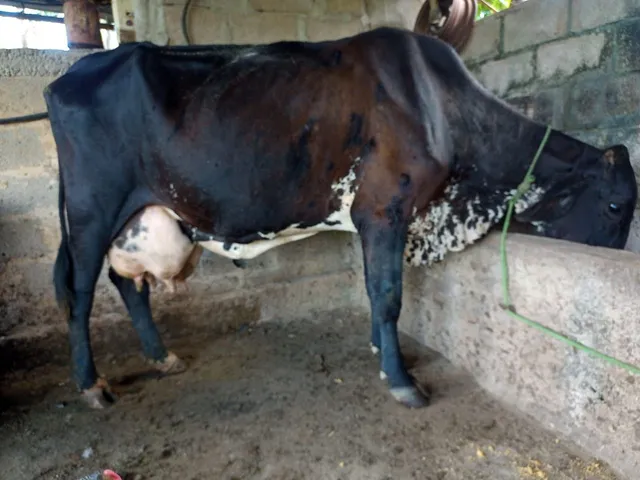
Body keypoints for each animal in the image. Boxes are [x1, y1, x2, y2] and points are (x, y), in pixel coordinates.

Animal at [33, 26, 636, 409]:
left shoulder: (373, 219)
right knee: (81, 295)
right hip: (91, 213)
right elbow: (388, 293)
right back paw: (93, 387)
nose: (612, 254)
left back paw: (163, 359)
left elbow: (376, 289)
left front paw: (378, 351)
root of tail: (70, 75)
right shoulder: (385, 208)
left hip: (141, 219)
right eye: (616, 205)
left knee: (128, 285)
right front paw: (401, 380)